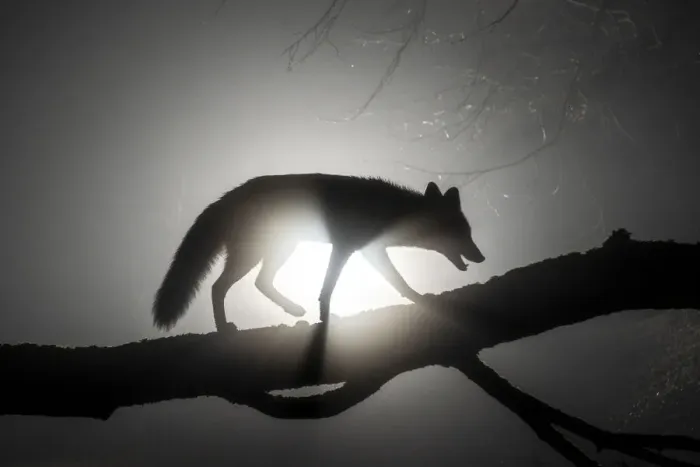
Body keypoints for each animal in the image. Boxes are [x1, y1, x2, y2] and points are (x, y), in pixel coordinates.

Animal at [152, 173, 485, 332]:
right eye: (462, 233)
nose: (481, 257)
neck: (389, 211)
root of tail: (227, 197)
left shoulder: (370, 252)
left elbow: (399, 283)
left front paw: (421, 300)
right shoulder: (345, 248)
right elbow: (327, 289)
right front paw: (325, 319)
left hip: (282, 249)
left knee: (260, 282)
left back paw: (293, 311)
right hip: (255, 254)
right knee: (217, 287)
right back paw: (223, 329)